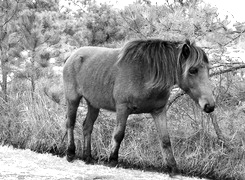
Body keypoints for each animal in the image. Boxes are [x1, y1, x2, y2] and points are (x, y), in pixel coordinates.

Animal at [62, 39, 214, 173]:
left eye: (207, 69)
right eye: (193, 70)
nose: (210, 105)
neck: (145, 74)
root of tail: (72, 56)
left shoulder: (159, 111)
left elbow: (165, 139)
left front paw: (173, 167)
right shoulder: (123, 109)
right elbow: (118, 135)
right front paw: (112, 160)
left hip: (93, 104)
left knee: (87, 126)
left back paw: (88, 157)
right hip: (73, 100)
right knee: (70, 123)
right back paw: (70, 153)